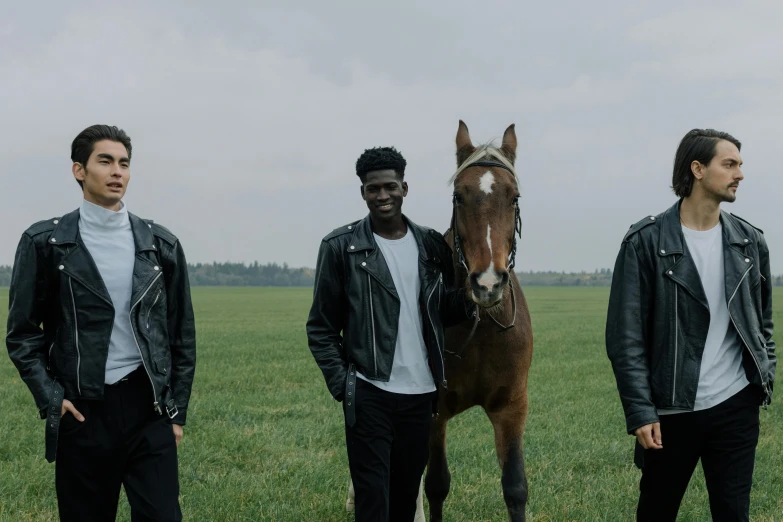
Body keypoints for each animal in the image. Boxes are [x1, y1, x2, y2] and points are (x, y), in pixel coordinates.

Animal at [426, 120, 536, 516]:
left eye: (514, 197)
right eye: (459, 196)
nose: (487, 282)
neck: (481, 323)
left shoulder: (511, 407)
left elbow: (515, 486)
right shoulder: (434, 411)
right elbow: (435, 484)